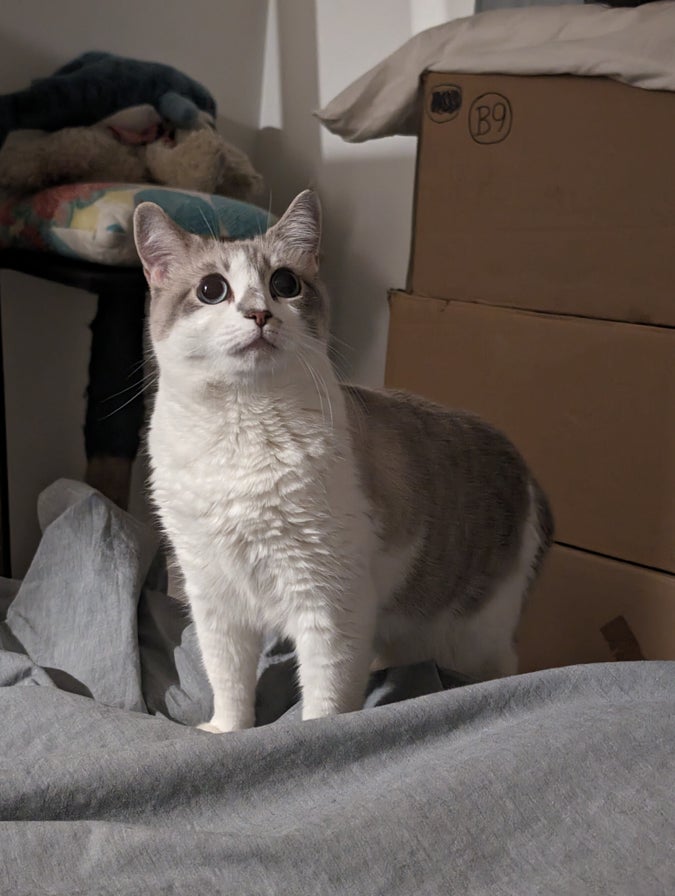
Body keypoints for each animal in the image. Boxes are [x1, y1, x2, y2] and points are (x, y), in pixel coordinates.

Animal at [133, 192, 556, 732]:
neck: (239, 428)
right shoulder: (215, 598)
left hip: (472, 641)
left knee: (497, 670)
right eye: (212, 290)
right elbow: (227, 682)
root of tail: (527, 474)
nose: (258, 313)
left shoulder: (329, 602)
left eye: (284, 284)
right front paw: (226, 731)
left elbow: (326, 701)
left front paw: (314, 737)